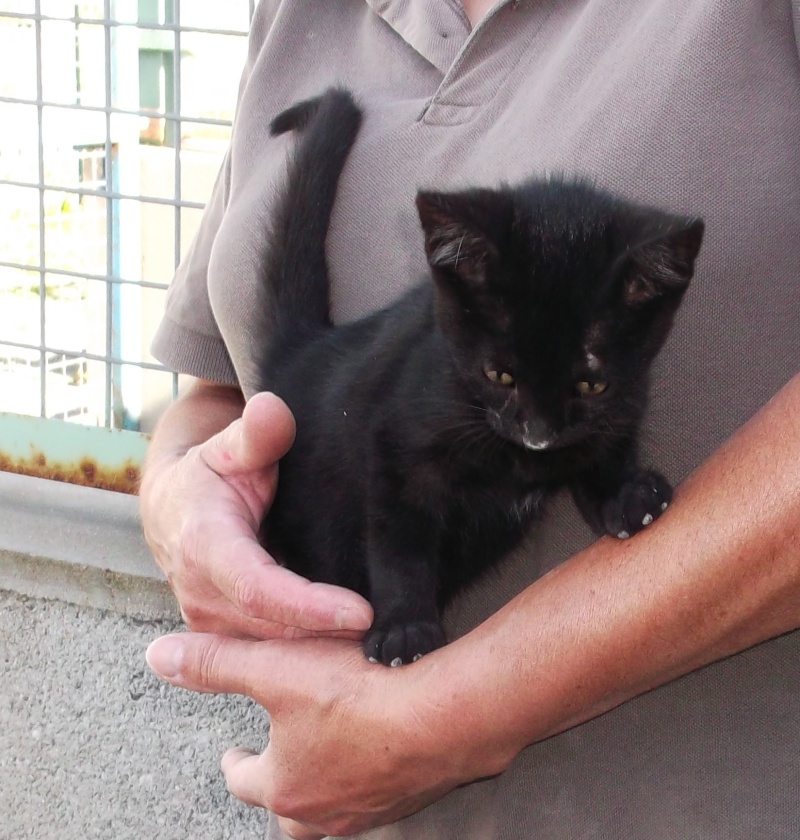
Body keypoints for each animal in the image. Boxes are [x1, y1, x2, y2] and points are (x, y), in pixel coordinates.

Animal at [255, 90, 700, 668]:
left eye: (590, 384)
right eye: (499, 374)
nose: (539, 435)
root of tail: (302, 351)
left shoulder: (623, 401)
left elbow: (603, 444)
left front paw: (626, 494)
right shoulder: (397, 443)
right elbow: (401, 540)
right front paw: (403, 627)